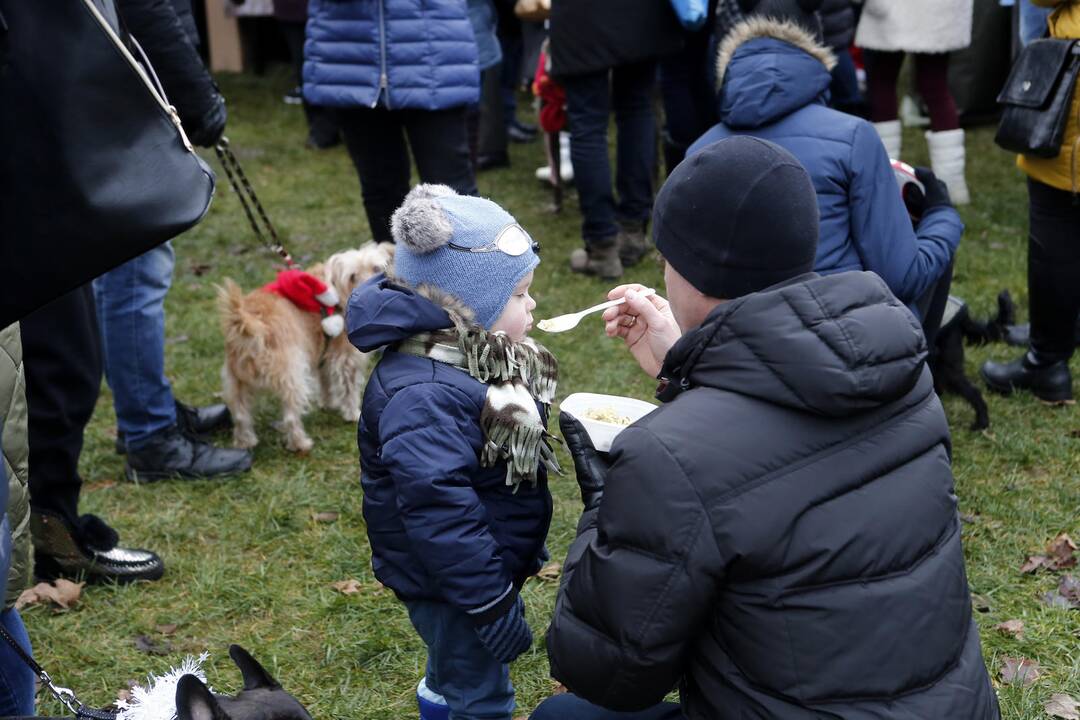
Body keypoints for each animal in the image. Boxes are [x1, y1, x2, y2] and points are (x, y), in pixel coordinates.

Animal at [214, 245, 393, 453]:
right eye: (352, 277)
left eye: (376, 268)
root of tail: (247, 321)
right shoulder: (346, 358)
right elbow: (348, 389)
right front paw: (352, 414)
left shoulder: (323, 354)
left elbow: (325, 381)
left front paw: (328, 403)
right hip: (291, 376)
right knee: (291, 417)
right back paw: (300, 444)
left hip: (237, 382)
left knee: (241, 416)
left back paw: (245, 443)